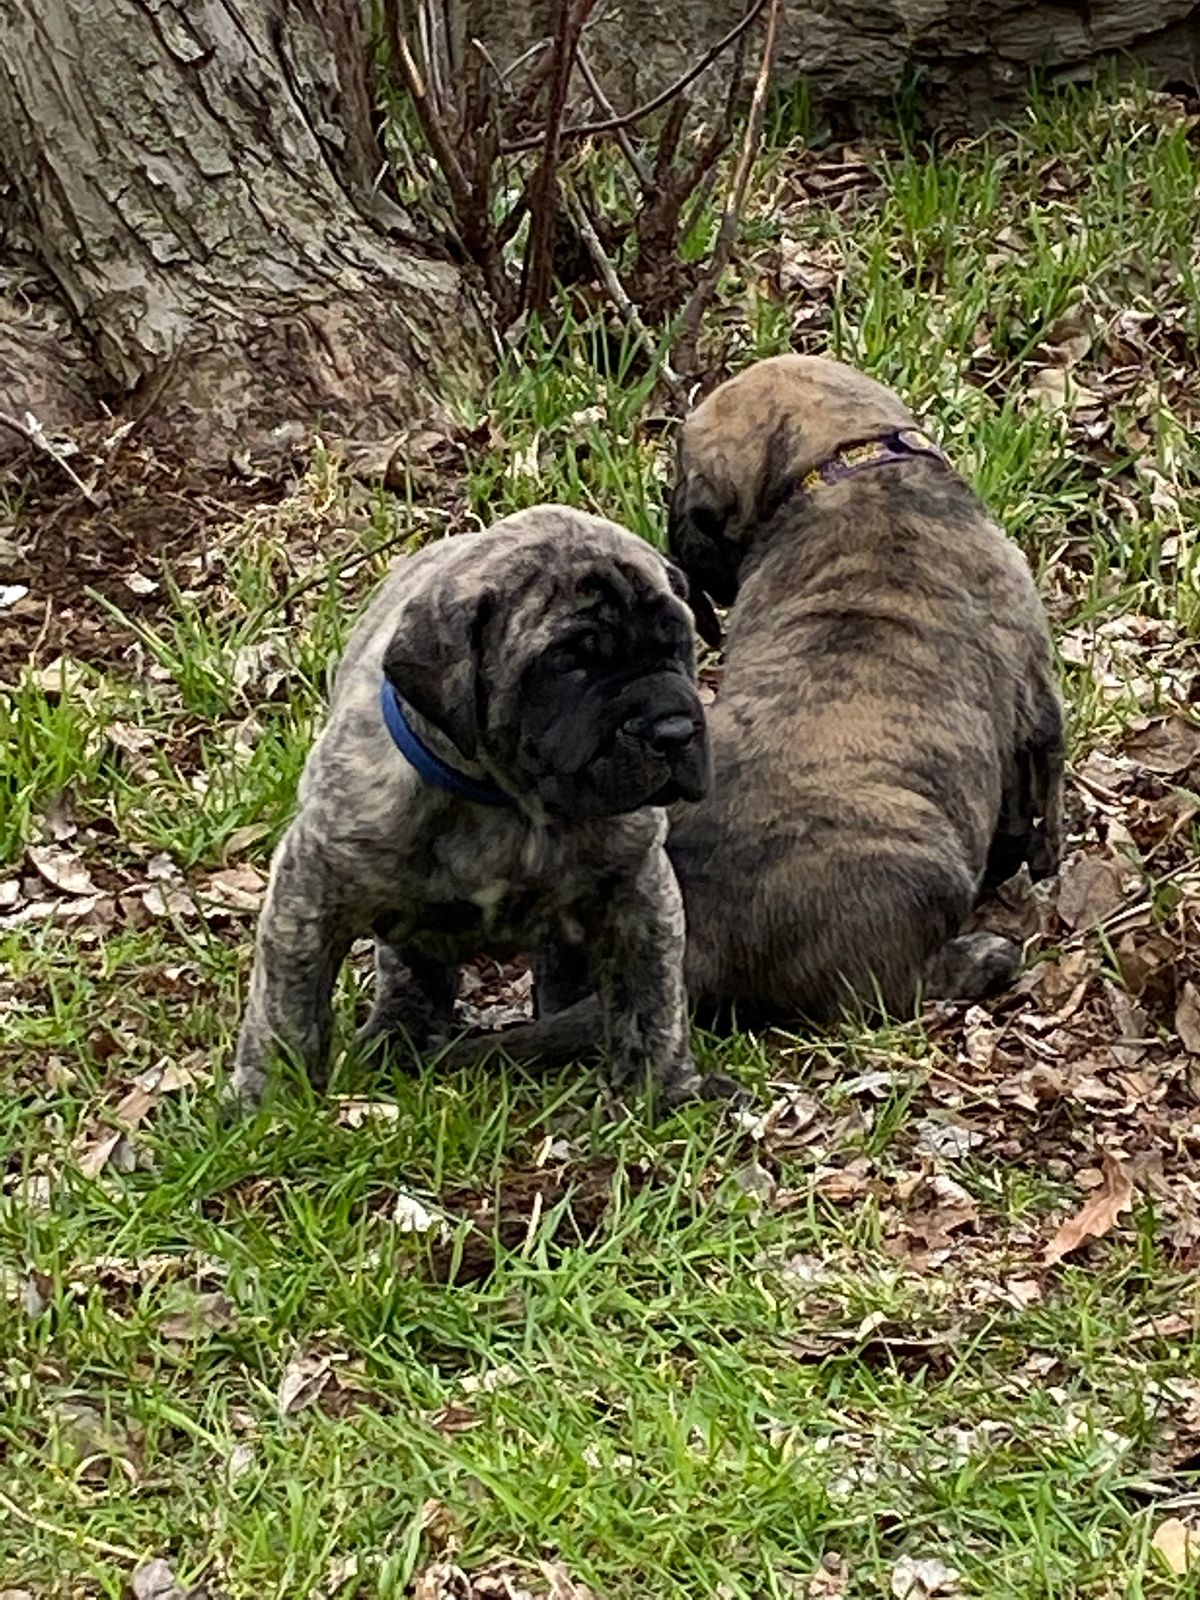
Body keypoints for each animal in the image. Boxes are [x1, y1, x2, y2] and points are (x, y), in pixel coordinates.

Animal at [230, 504, 714, 1109]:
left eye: (675, 642)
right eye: (568, 663)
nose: (673, 731)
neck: (506, 803)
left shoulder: (637, 888)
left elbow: (651, 995)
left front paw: (661, 1089)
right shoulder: (311, 888)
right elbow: (288, 1001)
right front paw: (270, 1098)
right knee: (411, 965)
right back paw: (401, 1030)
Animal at [443, 355, 1063, 1066]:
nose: (674, 536)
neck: (848, 465)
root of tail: (702, 940)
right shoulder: (1037, 695)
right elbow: (1040, 795)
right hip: (923, 871)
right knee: (888, 993)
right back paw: (985, 958)